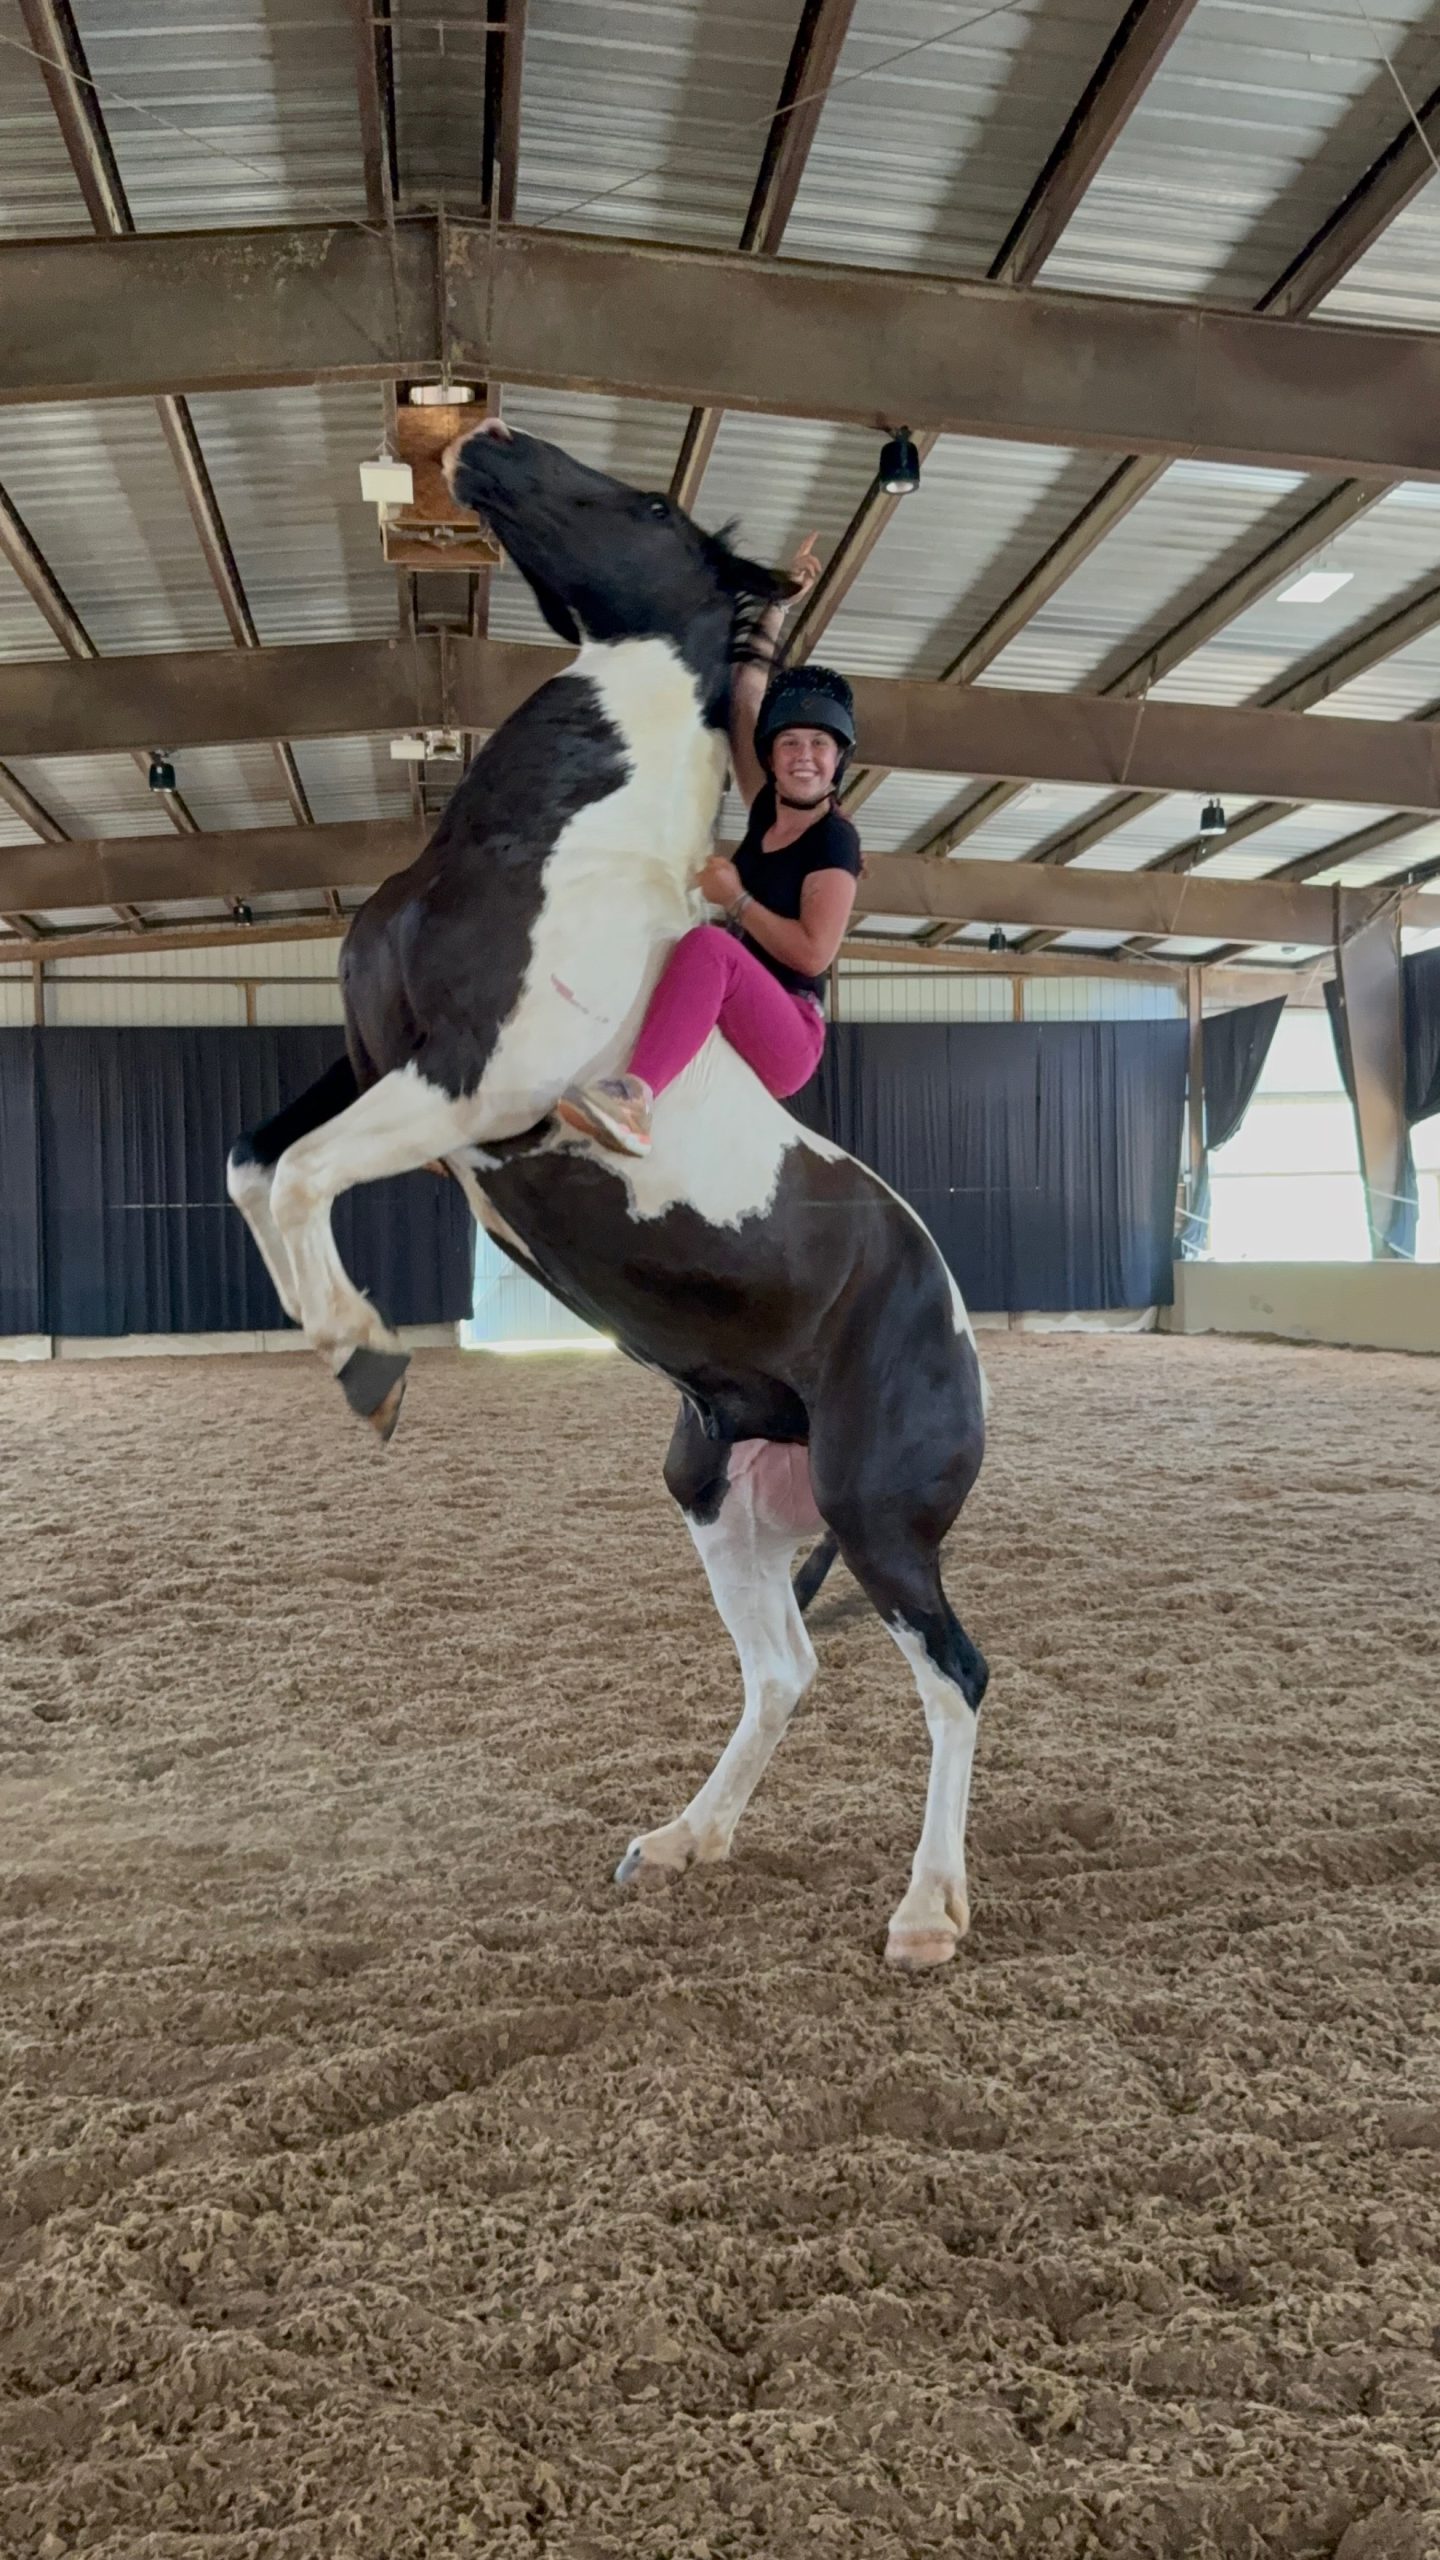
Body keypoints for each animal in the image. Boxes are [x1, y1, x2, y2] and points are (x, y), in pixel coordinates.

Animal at [227, 423, 989, 1967]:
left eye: (642, 501)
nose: (482, 440)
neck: (550, 851)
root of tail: (952, 1315)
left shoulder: (468, 1093)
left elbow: (310, 1178)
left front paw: (367, 1362)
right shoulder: (369, 1062)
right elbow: (257, 1168)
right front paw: (343, 1356)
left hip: (879, 1519)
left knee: (955, 1678)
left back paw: (928, 1913)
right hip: (725, 1498)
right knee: (784, 1667)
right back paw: (686, 1840)